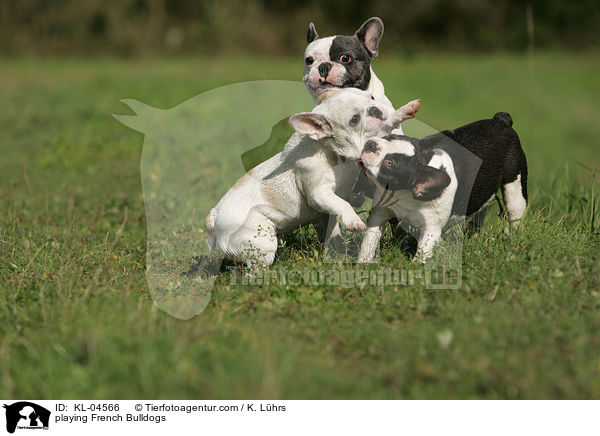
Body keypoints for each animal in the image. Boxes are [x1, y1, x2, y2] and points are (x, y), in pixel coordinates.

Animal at [204, 88, 420, 268]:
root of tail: (214, 216)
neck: (330, 152)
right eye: (354, 119)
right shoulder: (318, 193)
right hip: (260, 241)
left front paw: (401, 112)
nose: (375, 109)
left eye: (372, 98)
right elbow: (341, 203)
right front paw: (353, 220)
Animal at [358, 112, 528, 262]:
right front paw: (363, 263)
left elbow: (421, 255)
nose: (371, 144)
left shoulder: (431, 230)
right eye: (388, 138)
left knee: (514, 213)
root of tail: (502, 121)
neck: (405, 194)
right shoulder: (380, 213)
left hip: (515, 187)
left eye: (390, 163)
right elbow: (369, 241)